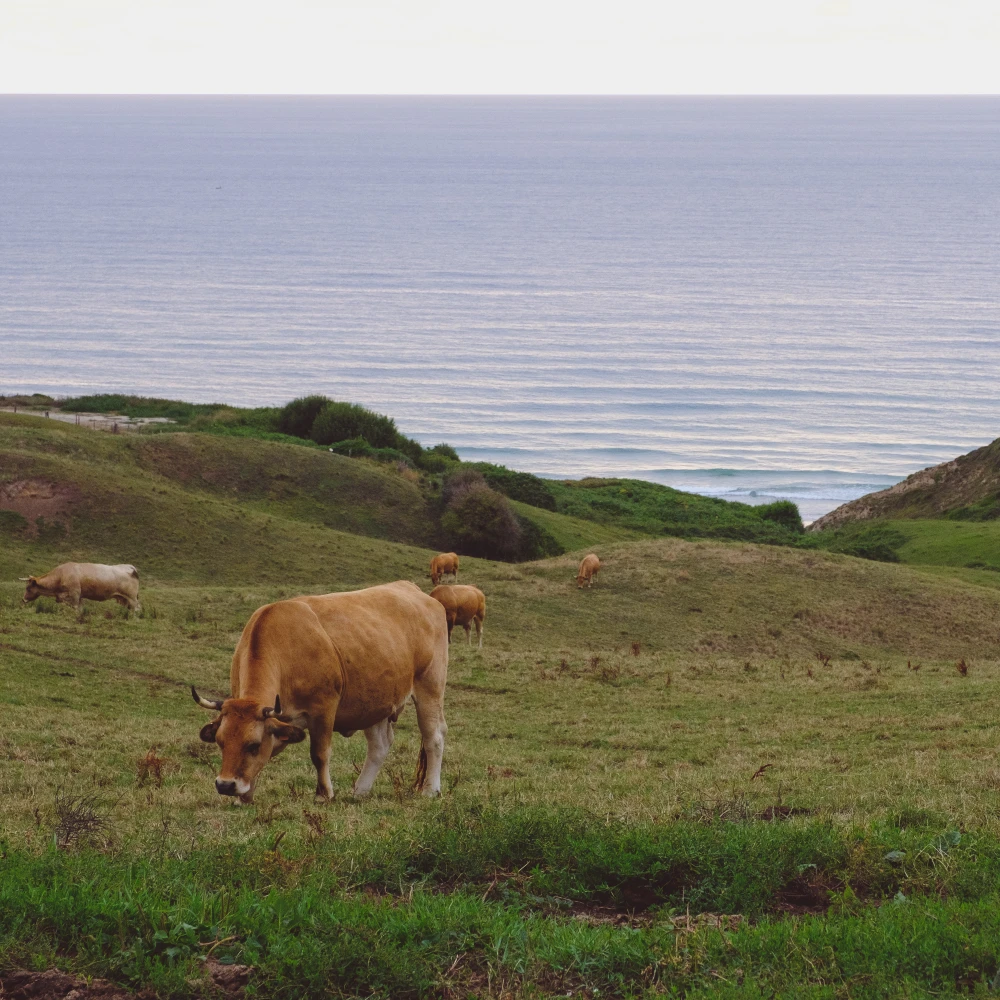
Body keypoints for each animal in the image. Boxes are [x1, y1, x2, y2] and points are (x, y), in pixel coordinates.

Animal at [192, 584, 450, 800]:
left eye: (253, 745)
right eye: (220, 742)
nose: (225, 785)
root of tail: (414, 589)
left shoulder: (323, 709)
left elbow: (320, 753)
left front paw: (324, 794)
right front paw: (245, 796)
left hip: (429, 688)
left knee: (433, 737)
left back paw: (430, 789)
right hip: (375, 703)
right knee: (380, 745)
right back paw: (360, 791)